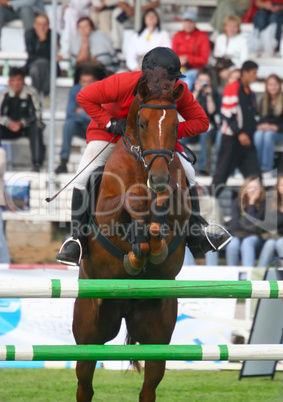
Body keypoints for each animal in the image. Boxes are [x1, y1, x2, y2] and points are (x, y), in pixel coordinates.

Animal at [73, 69, 192, 402]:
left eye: (176, 125)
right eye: (142, 124)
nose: (160, 178)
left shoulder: (181, 208)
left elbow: (166, 211)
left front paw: (153, 242)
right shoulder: (107, 212)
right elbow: (131, 203)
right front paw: (138, 245)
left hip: (158, 332)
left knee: (149, 386)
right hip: (89, 332)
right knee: (84, 384)